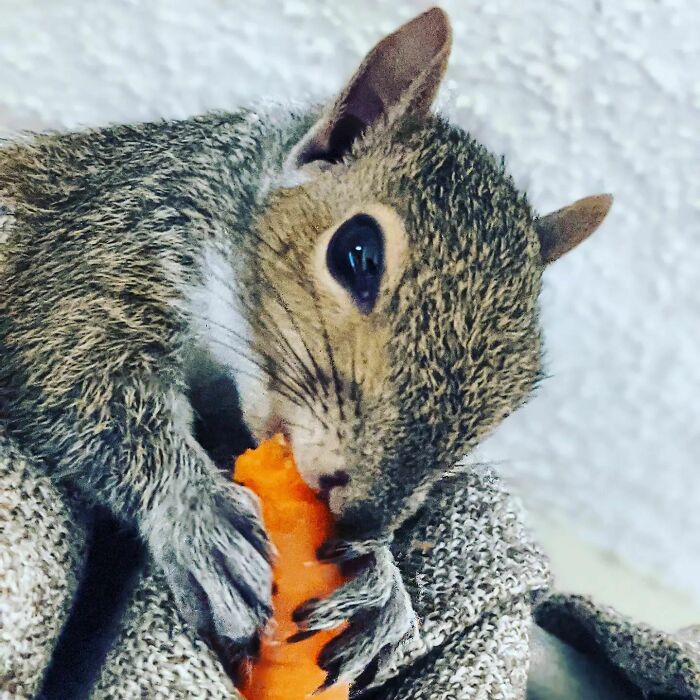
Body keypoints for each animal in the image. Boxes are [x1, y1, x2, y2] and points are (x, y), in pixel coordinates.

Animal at [0, 7, 612, 691]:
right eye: (357, 252)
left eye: (522, 391)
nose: (363, 517)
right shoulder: (104, 245)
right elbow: (73, 370)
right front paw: (196, 510)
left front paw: (379, 580)